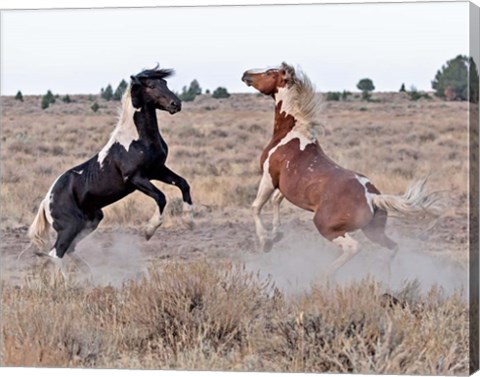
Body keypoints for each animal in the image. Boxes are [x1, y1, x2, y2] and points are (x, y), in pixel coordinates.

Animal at [27, 67, 193, 268]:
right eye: (152, 86)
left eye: (165, 83)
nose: (176, 104)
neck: (137, 140)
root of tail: (46, 202)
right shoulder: (136, 178)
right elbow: (161, 197)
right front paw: (148, 231)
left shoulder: (157, 170)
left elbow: (183, 184)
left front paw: (189, 220)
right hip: (70, 226)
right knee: (56, 253)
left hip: (91, 220)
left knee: (68, 249)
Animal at [242, 62, 440, 280]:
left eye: (270, 73)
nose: (245, 74)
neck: (292, 135)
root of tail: (372, 197)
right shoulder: (284, 185)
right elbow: (276, 201)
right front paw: (277, 234)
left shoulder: (269, 177)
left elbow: (256, 206)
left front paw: (266, 242)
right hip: (374, 231)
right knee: (393, 247)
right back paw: (386, 275)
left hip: (326, 226)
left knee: (354, 248)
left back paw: (323, 275)